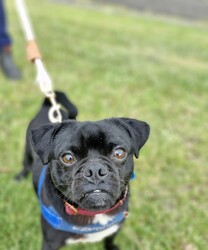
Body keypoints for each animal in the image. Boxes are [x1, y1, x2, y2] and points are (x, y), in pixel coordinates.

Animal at [16, 92, 150, 250]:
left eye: (119, 153)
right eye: (67, 158)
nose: (95, 170)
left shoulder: (114, 229)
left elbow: (109, 239)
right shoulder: (50, 243)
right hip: (27, 152)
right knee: (26, 164)